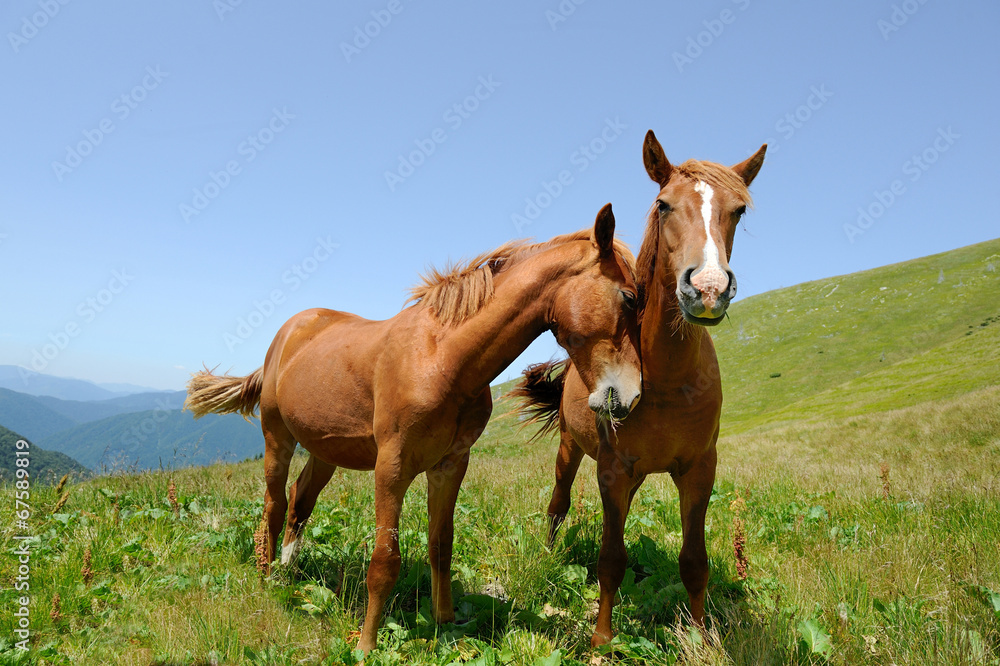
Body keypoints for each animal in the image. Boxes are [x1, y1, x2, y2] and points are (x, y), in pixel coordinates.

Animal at [184, 204, 643, 653]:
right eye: (629, 297)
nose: (632, 395)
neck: (442, 357)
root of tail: (287, 333)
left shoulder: (450, 464)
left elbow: (441, 544)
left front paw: (445, 621)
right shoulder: (393, 466)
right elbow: (385, 560)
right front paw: (366, 645)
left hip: (324, 451)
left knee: (300, 501)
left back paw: (288, 572)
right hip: (277, 437)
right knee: (275, 504)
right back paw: (267, 580)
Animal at [511, 131, 766, 646]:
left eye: (738, 210)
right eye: (664, 204)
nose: (708, 289)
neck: (667, 381)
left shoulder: (699, 470)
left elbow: (694, 562)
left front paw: (700, 636)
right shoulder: (612, 470)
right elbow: (610, 559)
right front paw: (601, 641)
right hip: (570, 450)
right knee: (557, 506)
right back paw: (548, 553)